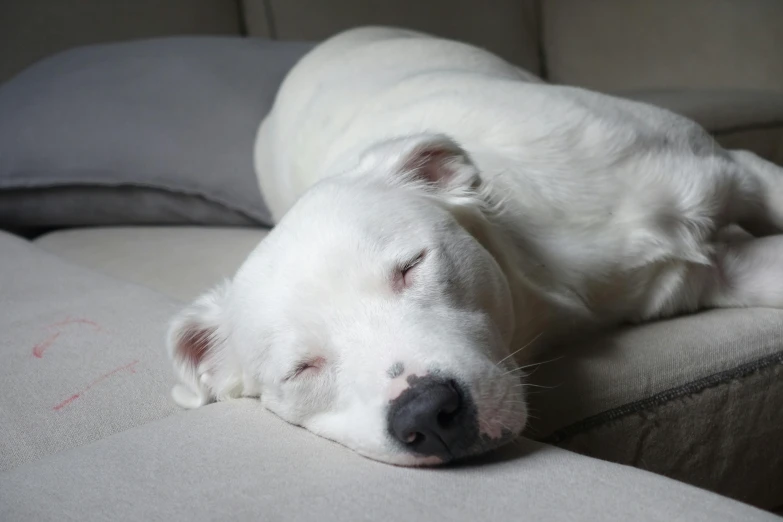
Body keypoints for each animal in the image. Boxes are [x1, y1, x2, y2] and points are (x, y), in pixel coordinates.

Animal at [165, 26, 783, 466]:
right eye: (301, 369)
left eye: (411, 266)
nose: (427, 414)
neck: (553, 269)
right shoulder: (727, 271)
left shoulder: (740, 173)